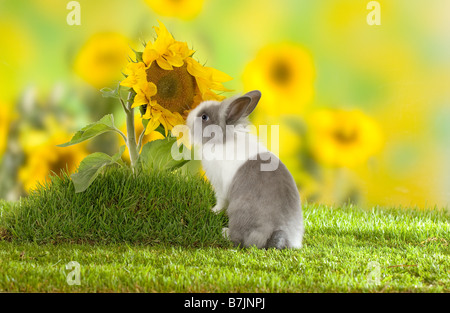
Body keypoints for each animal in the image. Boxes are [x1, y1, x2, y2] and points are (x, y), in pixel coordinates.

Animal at [185, 90, 304, 249]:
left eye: (204, 117)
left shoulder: (220, 186)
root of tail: (280, 232)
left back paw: (224, 232)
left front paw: (213, 210)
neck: (221, 138)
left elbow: (220, 201)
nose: (188, 117)